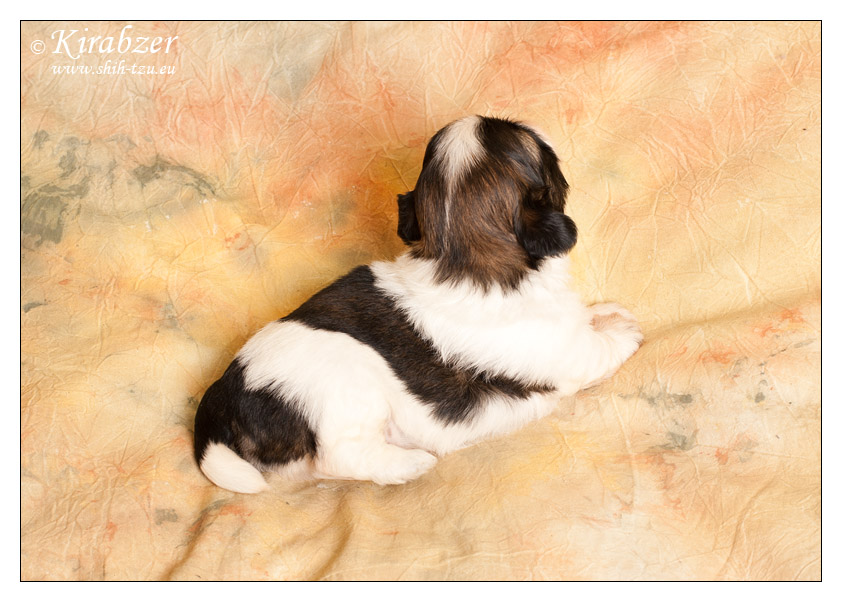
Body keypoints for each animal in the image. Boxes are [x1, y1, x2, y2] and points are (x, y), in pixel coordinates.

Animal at [193, 116, 642, 493]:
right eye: (533, 146)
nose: (537, 126)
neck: (466, 258)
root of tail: (223, 392)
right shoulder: (565, 351)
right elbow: (601, 348)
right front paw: (625, 329)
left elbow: (583, 316)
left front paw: (606, 313)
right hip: (347, 390)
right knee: (338, 458)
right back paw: (410, 464)